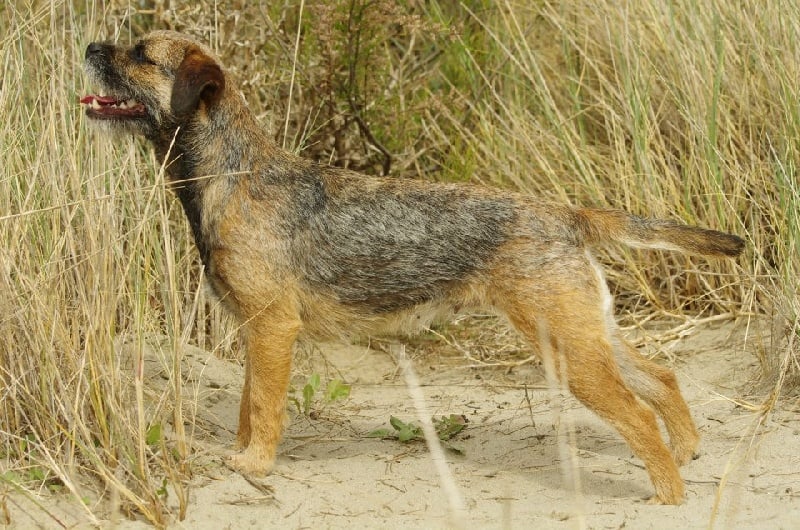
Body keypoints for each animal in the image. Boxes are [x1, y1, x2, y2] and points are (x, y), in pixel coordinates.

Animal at [81, 30, 744, 504]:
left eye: (141, 54)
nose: (89, 48)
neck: (234, 175)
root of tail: (567, 213)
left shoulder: (272, 328)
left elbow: (265, 405)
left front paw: (255, 465)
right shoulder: (255, 331)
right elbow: (248, 402)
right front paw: (242, 455)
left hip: (566, 348)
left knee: (637, 412)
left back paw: (669, 494)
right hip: (587, 332)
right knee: (660, 377)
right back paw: (687, 453)